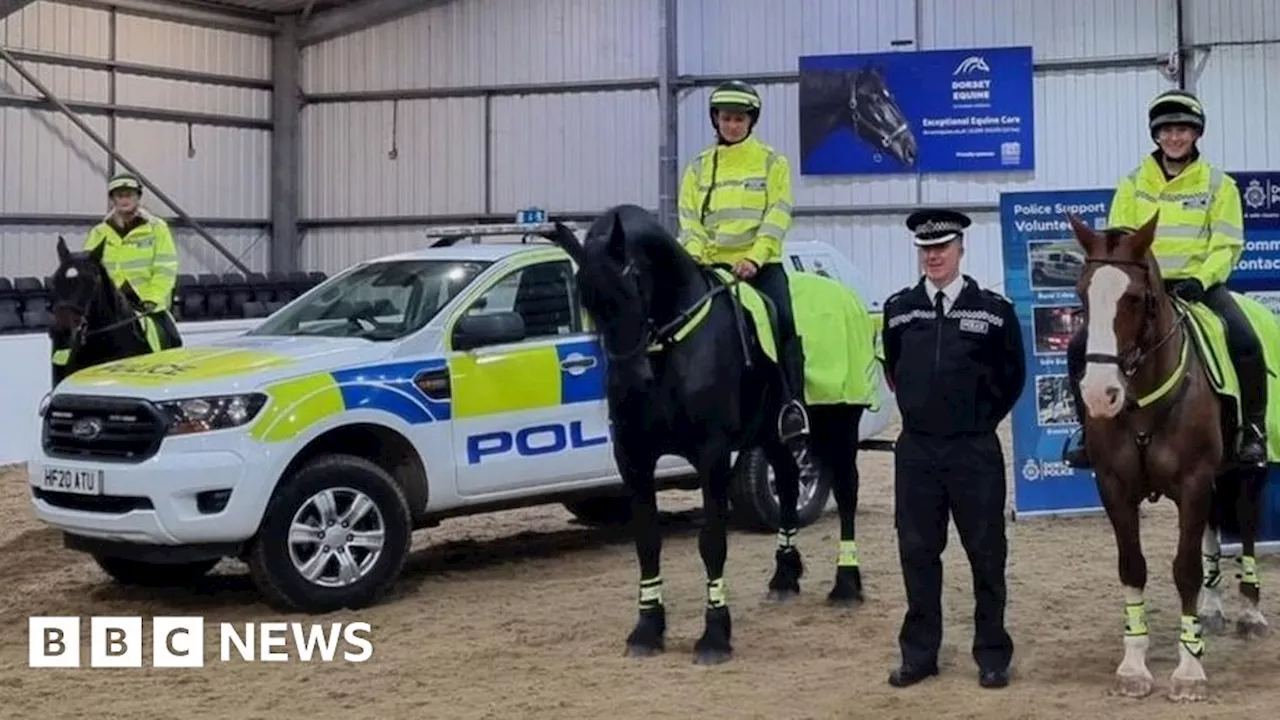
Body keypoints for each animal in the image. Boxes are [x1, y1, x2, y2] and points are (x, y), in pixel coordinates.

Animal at [540, 203, 870, 661]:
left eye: (632, 286)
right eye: (587, 303)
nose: (630, 381)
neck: (672, 346)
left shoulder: (712, 453)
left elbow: (712, 540)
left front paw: (715, 634)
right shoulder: (633, 456)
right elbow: (647, 540)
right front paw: (647, 629)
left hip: (839, 424)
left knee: (846, 493)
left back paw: (846, 584)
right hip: (771, 434)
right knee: (788, 482)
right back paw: (784, 577)